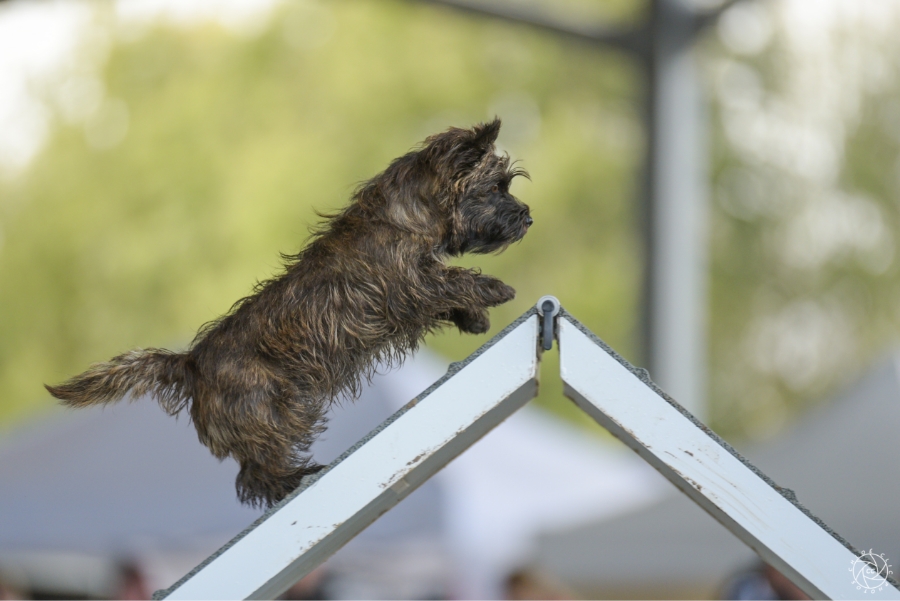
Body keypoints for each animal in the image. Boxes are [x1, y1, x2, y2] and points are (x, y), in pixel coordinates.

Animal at [45, 118, 532, 506]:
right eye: (496, 187)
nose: (527, 217)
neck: (403, 219)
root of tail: (189, 363)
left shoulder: (413, 294)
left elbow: (451, 296)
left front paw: (474, 317)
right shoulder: (410, 284)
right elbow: (456, 280)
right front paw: (495, 290)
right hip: (277, 412)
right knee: (254, 474)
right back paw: (295, 479)